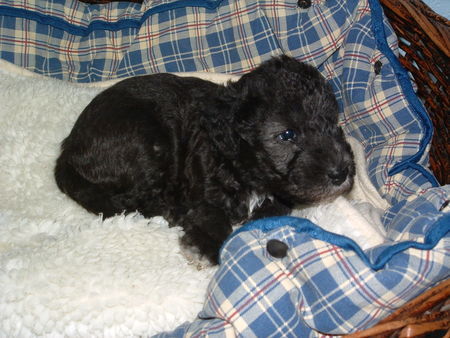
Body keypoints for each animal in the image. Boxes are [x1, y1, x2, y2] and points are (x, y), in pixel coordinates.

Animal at [54, 55, 356, 264]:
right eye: (287, 135)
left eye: (333, 123)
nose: (341, 172)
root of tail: (69, 149)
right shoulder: (202, 185)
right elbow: (211, 213)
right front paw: (207, 245)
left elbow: (275, 209)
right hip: (146, 143)